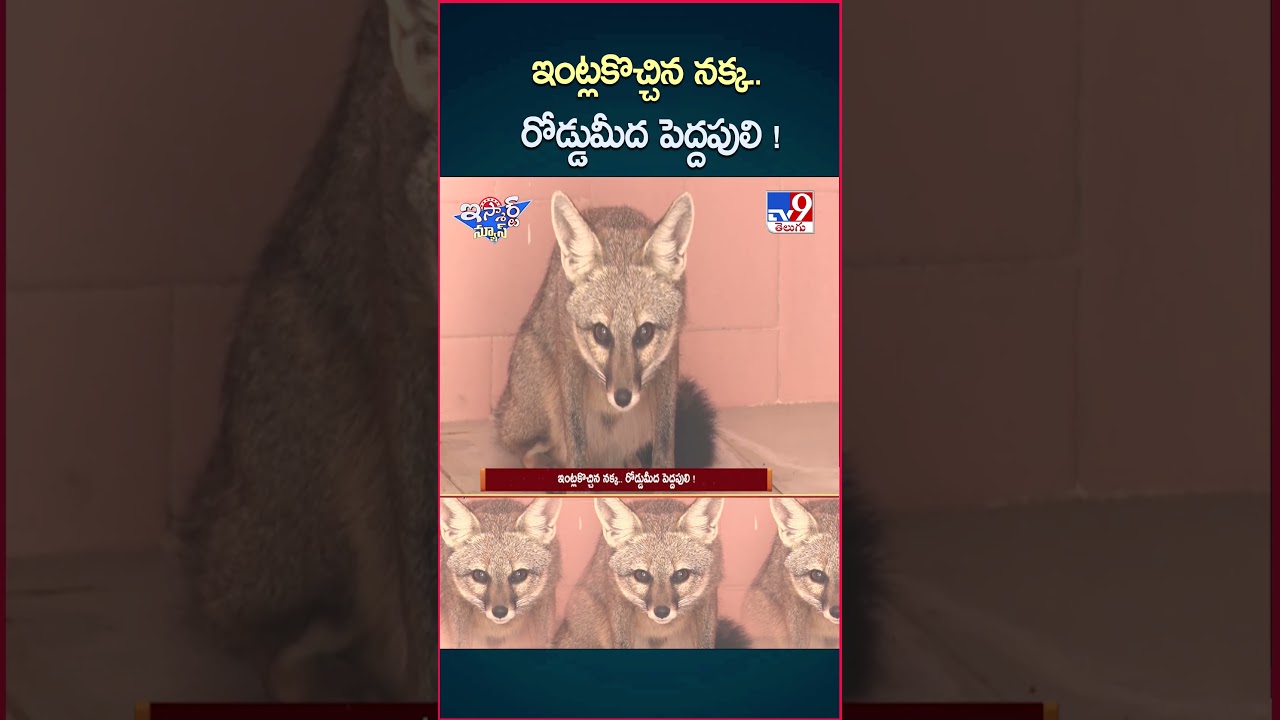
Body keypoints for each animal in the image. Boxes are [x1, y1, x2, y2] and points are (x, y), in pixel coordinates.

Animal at [494, 191, 718, 471]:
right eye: (601, 333)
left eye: (645, 333)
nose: (622, 398)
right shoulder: (569, 352)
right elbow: (575, 437)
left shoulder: (669, 355)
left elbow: (665, 440)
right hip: (544, 393)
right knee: (526, 449)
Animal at [554, 497, 749, 649]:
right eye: (642, 575)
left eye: (681, 575)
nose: (661, 612)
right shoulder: (618, 601)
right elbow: (622, 643)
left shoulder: (707, 596)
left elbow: (706, 642)